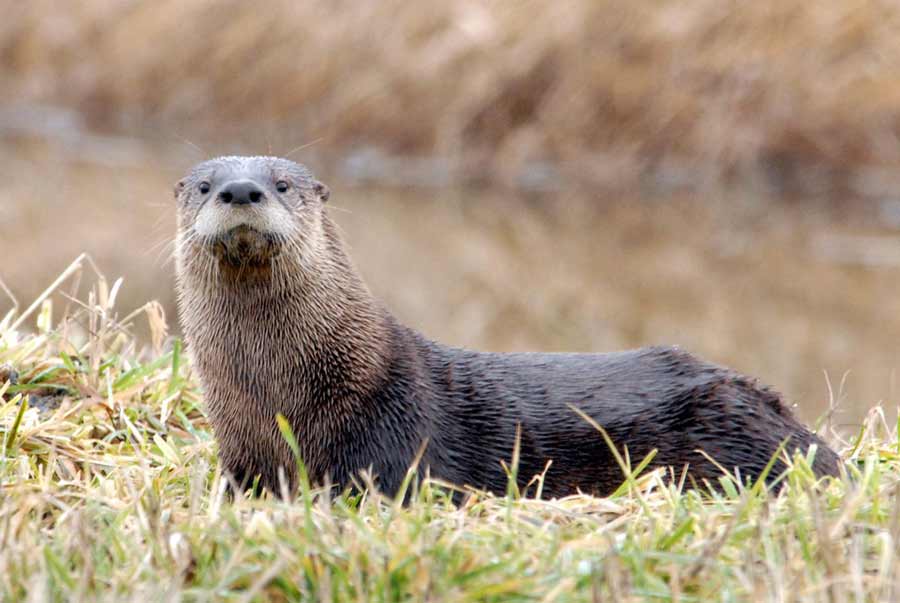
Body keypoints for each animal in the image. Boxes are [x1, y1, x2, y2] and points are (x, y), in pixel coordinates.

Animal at [174, 156, 836, 500]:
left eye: (283, 184)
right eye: (204, 185)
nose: (242, 189)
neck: (277, 397)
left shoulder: (393, 443)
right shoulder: (241, 454)